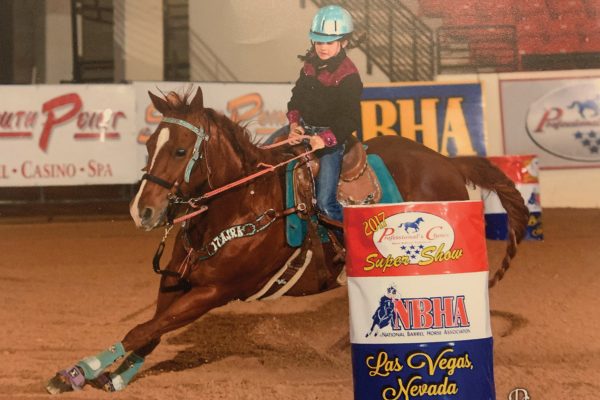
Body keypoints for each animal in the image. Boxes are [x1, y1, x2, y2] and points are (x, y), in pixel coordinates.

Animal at [47, 86, 528, 394]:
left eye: (181, 151)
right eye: (150, 145)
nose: (142, 211)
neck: (239, 203)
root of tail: (448, 161)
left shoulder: (215, 291)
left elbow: (141, 328)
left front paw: (75, 373)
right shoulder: (174, 283)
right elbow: (149, 330)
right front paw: (112, 375)